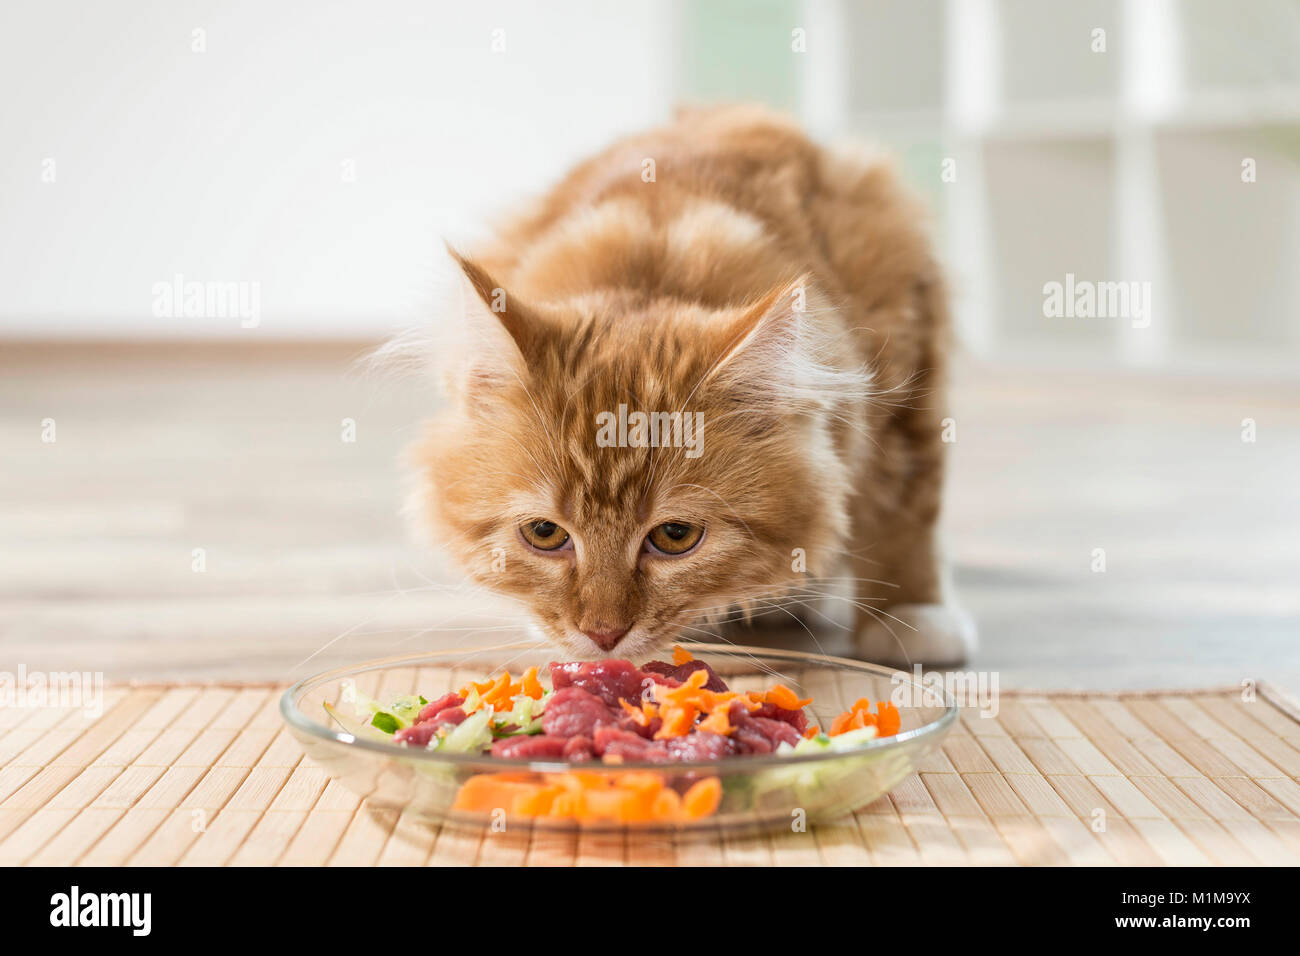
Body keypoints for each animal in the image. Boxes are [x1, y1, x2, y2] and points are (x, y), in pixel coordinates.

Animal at [405, 104, 977, 665]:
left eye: (675, 536)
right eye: (544, 533)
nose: (603, 635)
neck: (652, 267)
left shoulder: (905, 374)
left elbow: (904, 516)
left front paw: (911, 613)